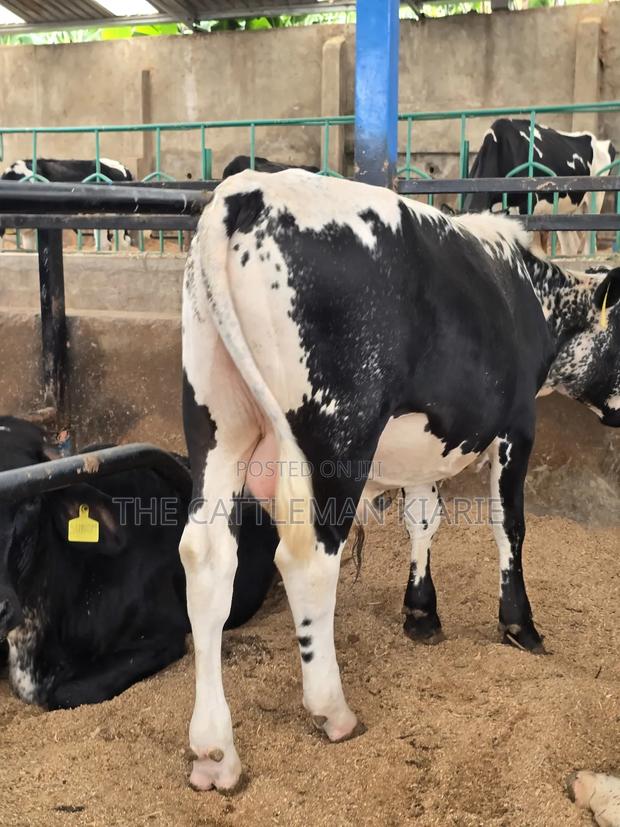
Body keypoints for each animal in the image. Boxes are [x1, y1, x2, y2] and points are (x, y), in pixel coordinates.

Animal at [179, 169, 619, 790]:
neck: (532, 296)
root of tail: (248, 191)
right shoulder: (518, 428)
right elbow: (509, 526)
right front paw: (520, 625)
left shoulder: (425, 446)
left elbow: (423, 521)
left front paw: (421, 612)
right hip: (337, 432)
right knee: (308, 559)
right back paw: (332, 711)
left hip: (217, 418)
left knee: (207, 557)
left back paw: (214, 751)